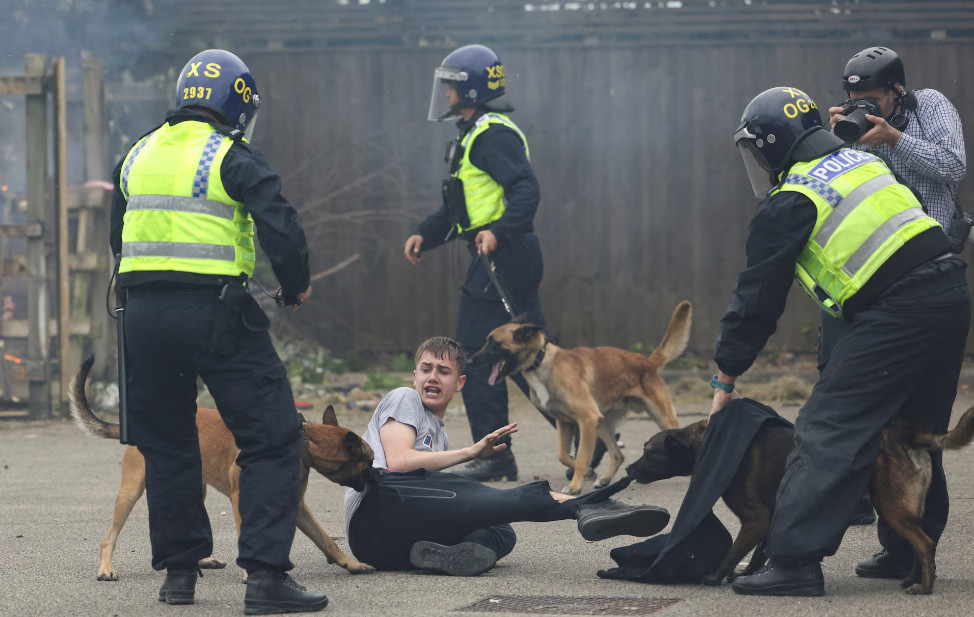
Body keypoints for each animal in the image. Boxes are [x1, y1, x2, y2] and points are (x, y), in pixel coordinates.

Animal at [68, 356, 377, 581]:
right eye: (370, 461)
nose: (377, 479)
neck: (301, 439)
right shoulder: (243, 499)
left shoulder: (297, 507)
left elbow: (327, 540)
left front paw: (350, 563)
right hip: (131, 490)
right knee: (108, 537)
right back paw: (106, 568)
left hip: (194, 490)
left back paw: (200, 560)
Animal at [473, 300, 691, 495]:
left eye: (493, 343)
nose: (470, 359)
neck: (542, 362)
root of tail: (646, 361)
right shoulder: (565, 422)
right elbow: (563, 455)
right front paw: (587, 472)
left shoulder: (586, 420)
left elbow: (579, 458)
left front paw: (575, 486)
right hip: (602, 425)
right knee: (617, 455)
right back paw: (604, 479)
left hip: (660, 418)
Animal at [626, 406, 974, 594]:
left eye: (648, 451)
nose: (628, 469)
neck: (707, 442)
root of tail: (907, 434)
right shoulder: (767, 520)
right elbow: (759, 553)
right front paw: (749, 575)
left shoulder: (755, 521)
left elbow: (733, 552)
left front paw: (714, 578)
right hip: (904, 509)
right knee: (923, 542)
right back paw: (915, 579)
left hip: (892, 507)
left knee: (925, 544)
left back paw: (924, 587)